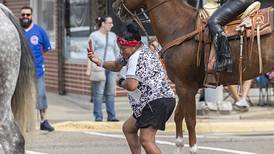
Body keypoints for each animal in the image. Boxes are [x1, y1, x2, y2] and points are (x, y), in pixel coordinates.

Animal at [112, 0, 274, 153]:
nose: (116, 7)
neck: (179, 27)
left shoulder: (186, 87)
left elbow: (190, 122)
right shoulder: (183, 86)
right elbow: (178, 116)